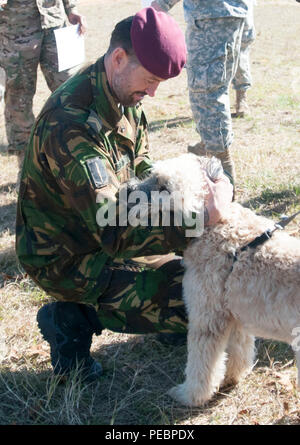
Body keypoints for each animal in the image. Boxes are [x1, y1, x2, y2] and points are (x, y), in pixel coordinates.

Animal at [133, 153, 300, 406]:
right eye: (152, 174)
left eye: (164, 187)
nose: (128, 189)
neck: (220, 229)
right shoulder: (236, 317)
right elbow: (239, 352)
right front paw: (233, 378)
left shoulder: (207, 319)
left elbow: (201, 364)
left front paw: (189, 395)